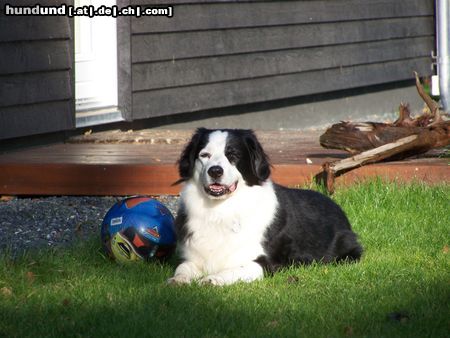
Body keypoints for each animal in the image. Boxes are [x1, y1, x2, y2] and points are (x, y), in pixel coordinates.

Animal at [168, 129, 362, 286]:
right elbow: (183, 267)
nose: (215, 171)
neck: (220, 210)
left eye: (233, 155)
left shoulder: (265, 263)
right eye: (204, 155)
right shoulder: (192, 255)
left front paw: (213, 279)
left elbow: (234, 270)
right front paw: (178, 280)